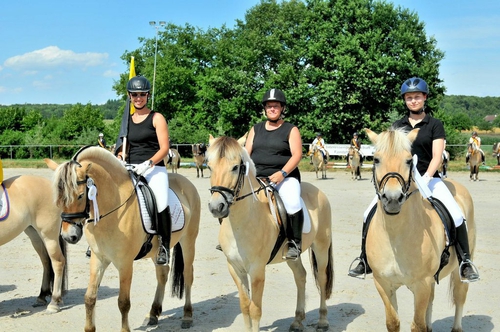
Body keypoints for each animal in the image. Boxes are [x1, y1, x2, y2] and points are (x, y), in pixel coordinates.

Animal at [0, 175, 67, 312]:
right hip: (35, 236)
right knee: (46, 262)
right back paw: (42, 296)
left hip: (49, 235)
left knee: (58, 262)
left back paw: (54, 302)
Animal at [205, 135, 334, 332]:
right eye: (209, 166)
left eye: (235, 167)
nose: (216, 207)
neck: (241, 222)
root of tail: (318, 192)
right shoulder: (235, 267)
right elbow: (244, 306)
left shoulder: (257, 270)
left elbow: (255, 309)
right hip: (292, 256)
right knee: (301, 277)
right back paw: (297, 321)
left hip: (321, 247)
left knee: (321, 278)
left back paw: (323, 321)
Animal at [366, 127, 474, 332]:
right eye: (376, 159)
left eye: (409, 160)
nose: (393, 199)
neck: (395, 236)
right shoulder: (383, 283)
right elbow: (393, 322)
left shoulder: (421, 284)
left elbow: (417, 325)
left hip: (458, 270)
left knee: (460, 296)